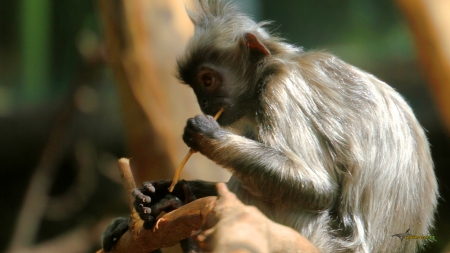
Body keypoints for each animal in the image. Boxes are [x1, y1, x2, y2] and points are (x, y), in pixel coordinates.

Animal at [102, 0, 436, 253]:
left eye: (207, 81)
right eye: (197, 88)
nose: (205, 105)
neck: (278, 63)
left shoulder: (280, 87)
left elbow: (318, 188)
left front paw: (205, 136)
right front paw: (161, 195)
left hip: (316, 238)